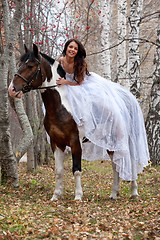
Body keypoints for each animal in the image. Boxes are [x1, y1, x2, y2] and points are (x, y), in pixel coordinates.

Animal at [8, 44, 139, 201]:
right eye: (20, 64)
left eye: (30, 66)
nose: (12, 89)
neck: (61, 107)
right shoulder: (56, 143)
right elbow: (58, 170)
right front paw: (56, 195)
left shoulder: (75, 142)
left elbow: (76, 170)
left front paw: (78, 196)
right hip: (110, 142)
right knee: (115, 166)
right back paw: (114, 194)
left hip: (124, 140)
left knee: (131, 163)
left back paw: (134, 192)